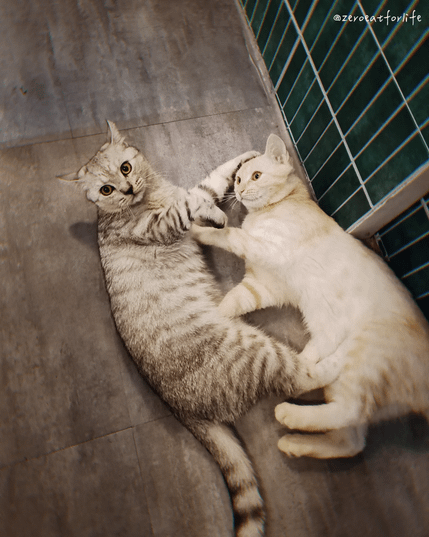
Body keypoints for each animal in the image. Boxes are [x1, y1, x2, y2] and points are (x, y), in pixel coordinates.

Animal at [61, 122, 338, 536]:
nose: (126, 189)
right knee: (299, 379)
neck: (150, 194)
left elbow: (212, 181)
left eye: (125, 168)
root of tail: (177, 406)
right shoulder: (164, 222)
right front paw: (211, 204)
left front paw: (239, 163)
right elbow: (194, 196)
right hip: (256, 350)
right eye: (106, 190)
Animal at [191, 133, 428, 456]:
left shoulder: (262, 248)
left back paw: (289, 414)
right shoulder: (264, 285)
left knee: (350, 410)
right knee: (351, 440)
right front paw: (214, 320)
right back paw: (295, 437)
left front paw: (196, 230)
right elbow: (233, 302)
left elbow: (228, 234)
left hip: (364, 359)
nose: (239, 189)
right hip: (344, 385)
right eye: (238, 178)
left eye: (256, 176)